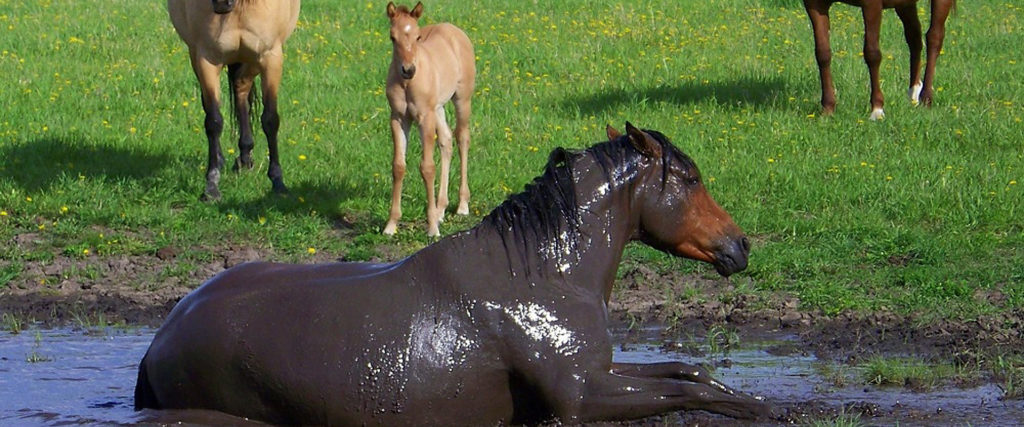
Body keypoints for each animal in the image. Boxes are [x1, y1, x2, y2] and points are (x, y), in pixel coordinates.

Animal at [134, 122, 772, 424]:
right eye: (689, 178)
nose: (740, 245)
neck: (548, 272)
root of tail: (159, 341)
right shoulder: (581, 396)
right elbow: (682, 391)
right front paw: (761, 409)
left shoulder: (599, 372)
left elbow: (691, 373)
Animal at [167, 0, 301, 200]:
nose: (222, 3)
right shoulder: (206, 59)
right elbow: (214, 121)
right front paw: (211, 186)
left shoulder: (271, 57)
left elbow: (270, 120)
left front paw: (278, 182)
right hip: (197, 56)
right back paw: (224, 159)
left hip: (250, 61)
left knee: (241, 92)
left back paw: (245, 157)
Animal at [384, 2, 475, 237]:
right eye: (392, 37)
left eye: (417, 37)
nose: (408, 70)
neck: (407, 84)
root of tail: (454, 30)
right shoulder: (399, 118)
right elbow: (398, 166)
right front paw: (391, 224)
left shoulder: (424, 118)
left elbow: (427, 167)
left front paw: (432, 226)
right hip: (439, 108)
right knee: (446, 140)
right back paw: (441, 208)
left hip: (462, 99)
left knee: (462, 138)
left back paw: (462, 205)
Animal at [802, 0, 956, 120]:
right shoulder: (815, 4)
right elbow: (822, 54)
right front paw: (827, 109)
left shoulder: (871, 5)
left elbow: (872, 54)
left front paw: (877, 110)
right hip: (905, 4)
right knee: (915, 39)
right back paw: (914, 94)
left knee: (934, 38)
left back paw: (926, 99)